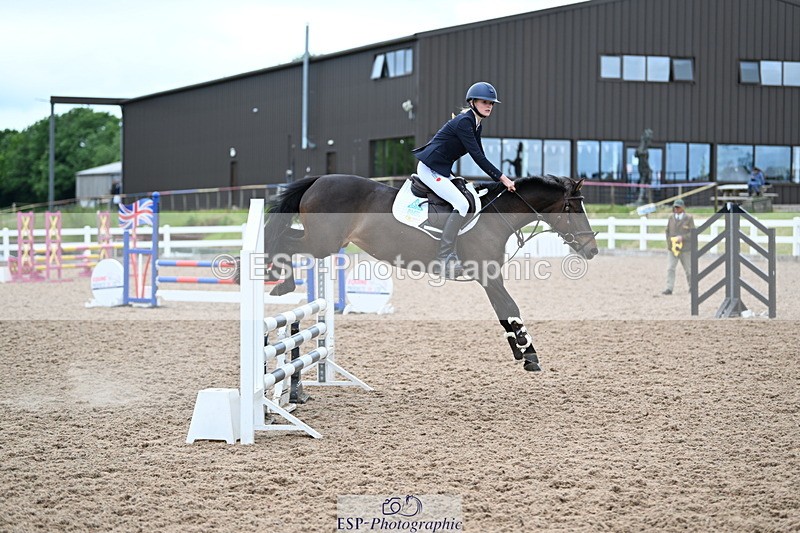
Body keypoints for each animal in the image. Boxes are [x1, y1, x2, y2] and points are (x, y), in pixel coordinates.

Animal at [262, 174, 598, 371]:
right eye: (573, 208)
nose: (592, 250)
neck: (496, 216)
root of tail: (319, 180)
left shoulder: (489, 279)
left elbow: (504, 311)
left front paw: (520, 352)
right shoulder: (489, 276)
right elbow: (511, 307)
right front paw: (530, 355)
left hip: (327, 242)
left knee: (286, 237)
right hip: (323, 242)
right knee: (285, 240)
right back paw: (281, 282)